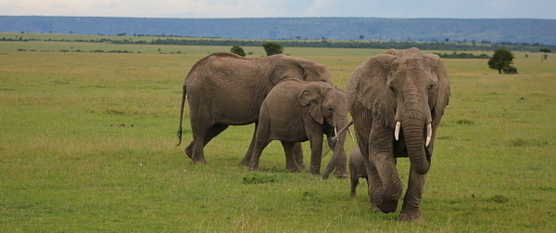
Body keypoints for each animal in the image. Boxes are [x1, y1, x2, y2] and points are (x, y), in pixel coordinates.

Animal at [176, 53, 336, 169]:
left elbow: (260, 126)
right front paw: (301, 167)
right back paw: (200, 162)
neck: (301, 61)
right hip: (201, 93)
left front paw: (244, 165)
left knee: (216, 127)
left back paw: (190, 156)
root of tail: (188, 77)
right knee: (202, 126)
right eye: (323, 82)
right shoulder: (273, 90)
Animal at [350, 47, 450, 220]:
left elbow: (418, 164)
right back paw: (375, 206)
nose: (428, 155)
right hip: (358, 120)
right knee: (369, 157)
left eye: (431, 86)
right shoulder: (381, 108)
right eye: (392, 88)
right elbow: (380, 152)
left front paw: (411, 219)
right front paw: (386, 205)